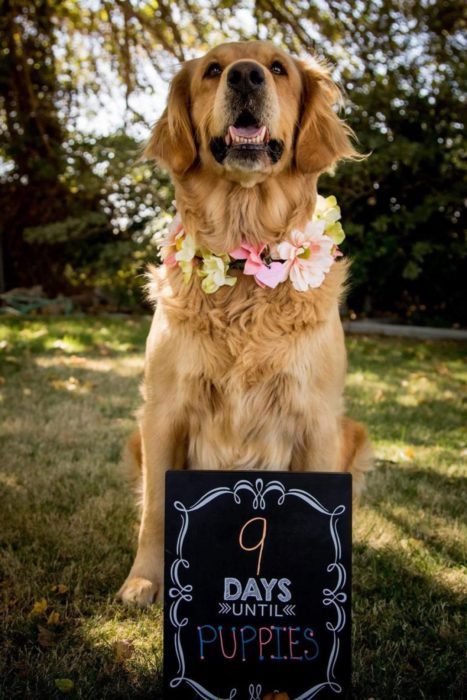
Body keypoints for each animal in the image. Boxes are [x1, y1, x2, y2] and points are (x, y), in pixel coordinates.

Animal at [119, 45, 372, 612]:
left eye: (278, 68)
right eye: (213, 70)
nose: (246, 76)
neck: (243, 259)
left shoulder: (316, 417)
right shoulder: (163, 411)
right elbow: (153, 512)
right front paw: (143, 580)